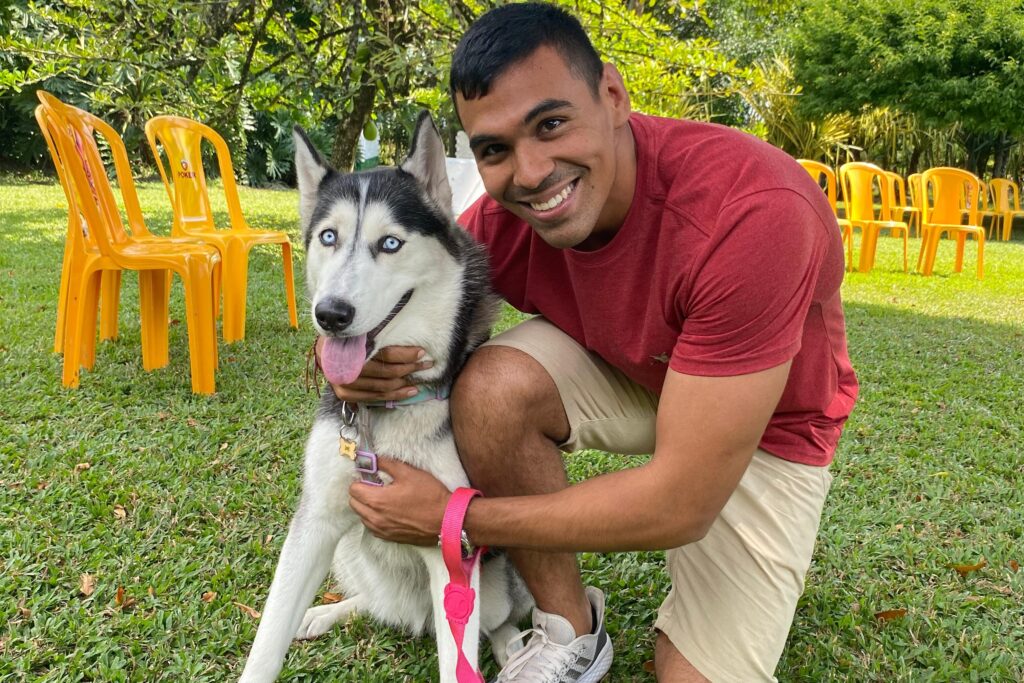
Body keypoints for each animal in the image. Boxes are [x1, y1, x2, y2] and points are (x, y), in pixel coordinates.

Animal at [236, 113, 532, 683]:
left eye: (390, 244)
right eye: (329, 237)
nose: (331, 314)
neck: (384, 415)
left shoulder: (449, 548)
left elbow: (456, 665)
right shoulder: (316, 523)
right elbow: (266, 640)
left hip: (494, 582)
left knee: (494, 621)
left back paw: (513, 648)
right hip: (348, 552)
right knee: (376, 604)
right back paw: (325, 612)